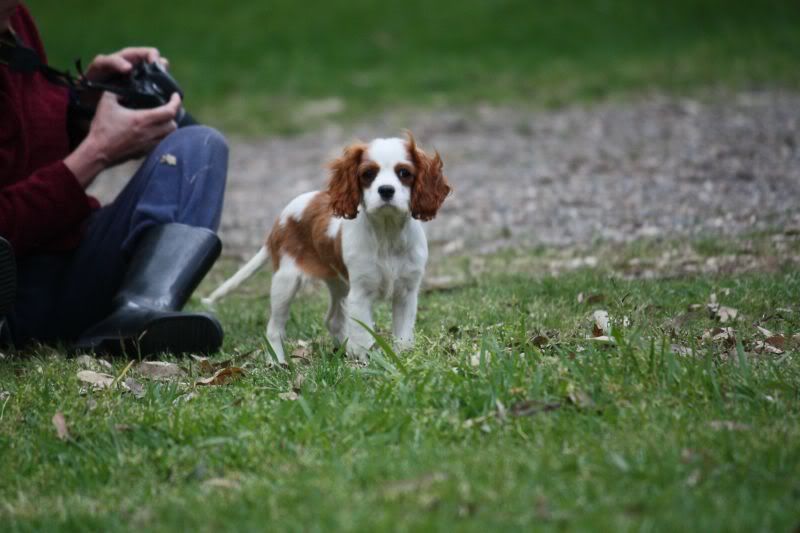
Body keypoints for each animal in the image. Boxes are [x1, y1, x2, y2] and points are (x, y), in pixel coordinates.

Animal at [202, 132, 450, 362]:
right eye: (368, 174)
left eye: (404, 173)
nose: (386, 190)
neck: (387, 233)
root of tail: (279, 220)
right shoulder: (360, 295)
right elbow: (363, 336)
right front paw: (367, 363)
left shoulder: (406, 293)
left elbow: (403, 336)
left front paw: (402, 358)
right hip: (285, 281)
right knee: (274, 328)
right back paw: (278, 362)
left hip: (339, 285)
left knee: (333, 320)